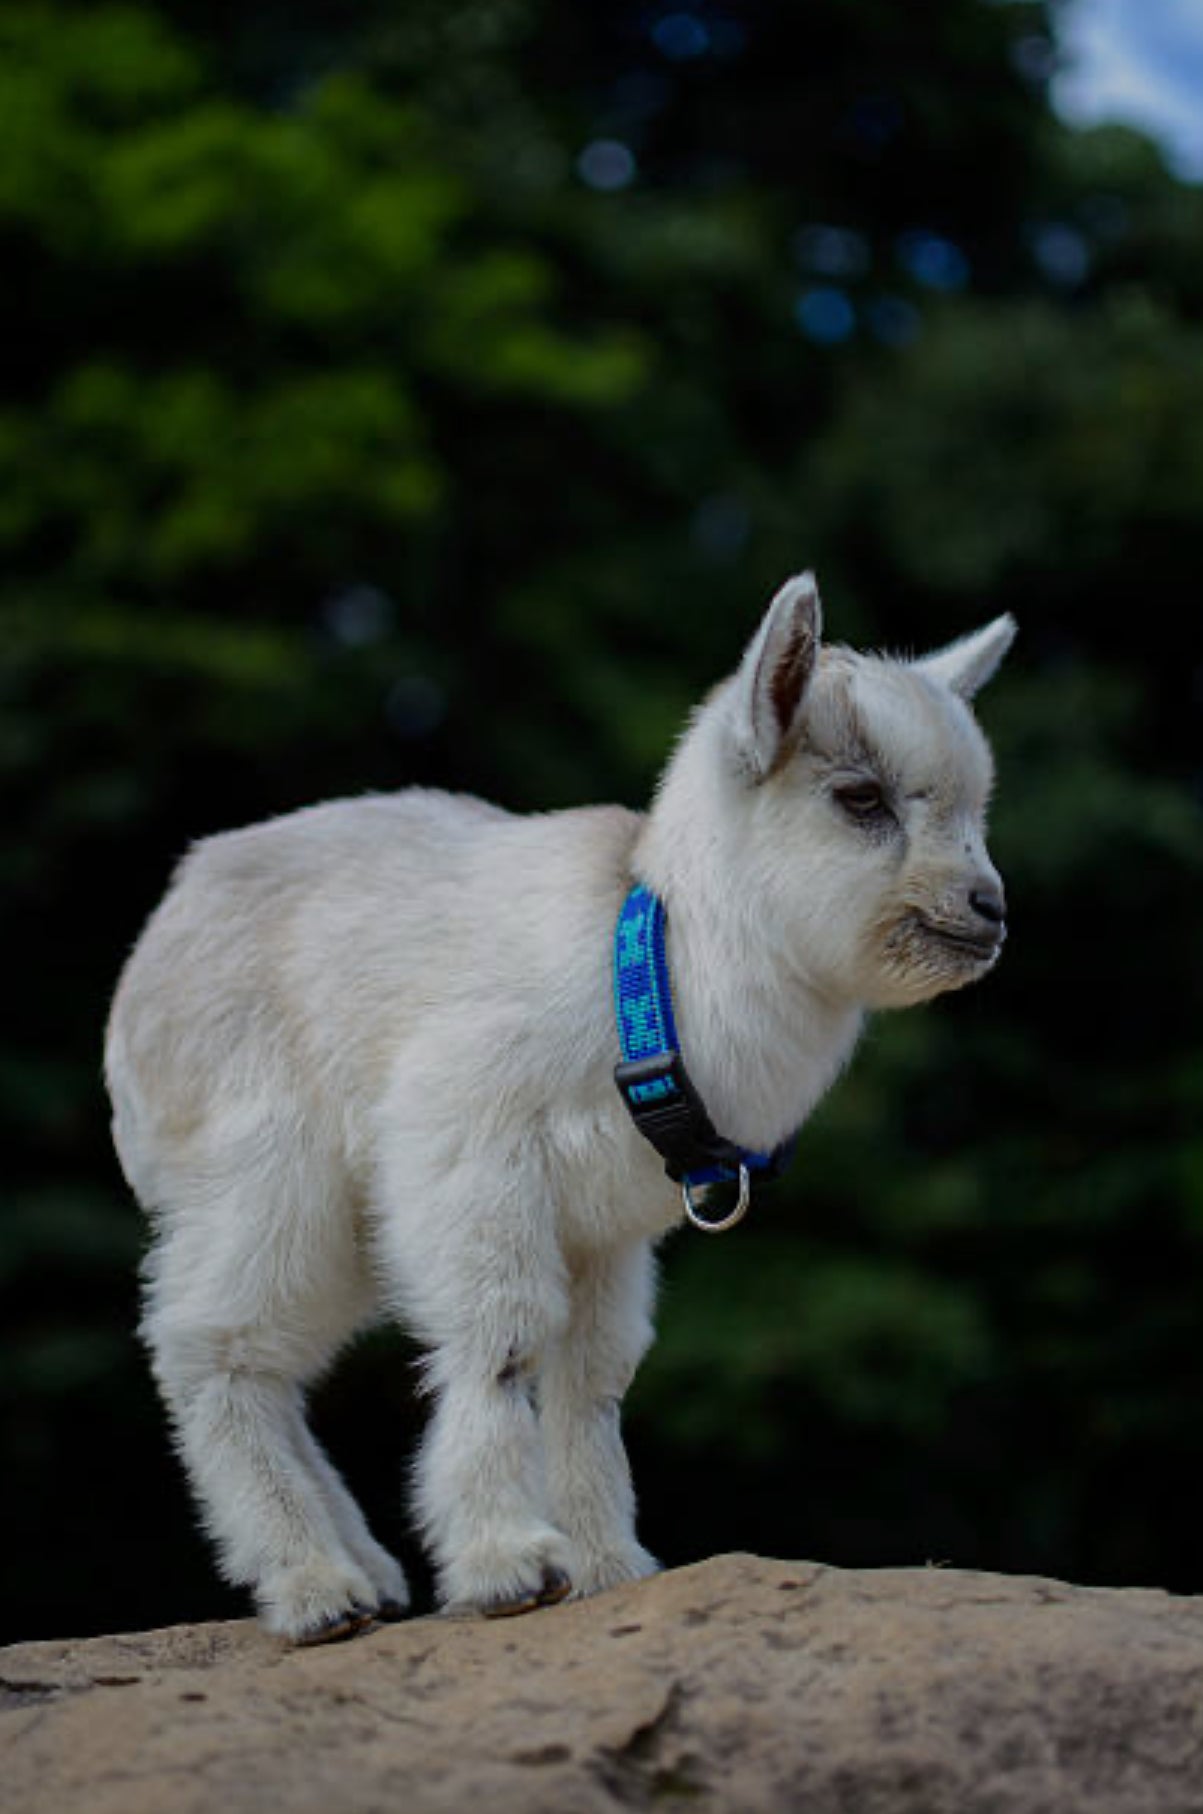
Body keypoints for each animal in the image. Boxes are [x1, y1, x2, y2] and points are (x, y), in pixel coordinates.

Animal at [105, 574, 1014, 1642]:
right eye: (859, 799)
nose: (988, 909)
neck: (661, 964)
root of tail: (156, 946)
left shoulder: (605, 1230)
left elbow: (592, 1375)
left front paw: (607, 1568)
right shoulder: (468, 1143)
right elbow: (500, 1338)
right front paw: (509, 1567)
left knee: (260, 1357)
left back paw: (365, 1578)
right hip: (268, 1171)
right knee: (211, 1343)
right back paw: (313, 1589)